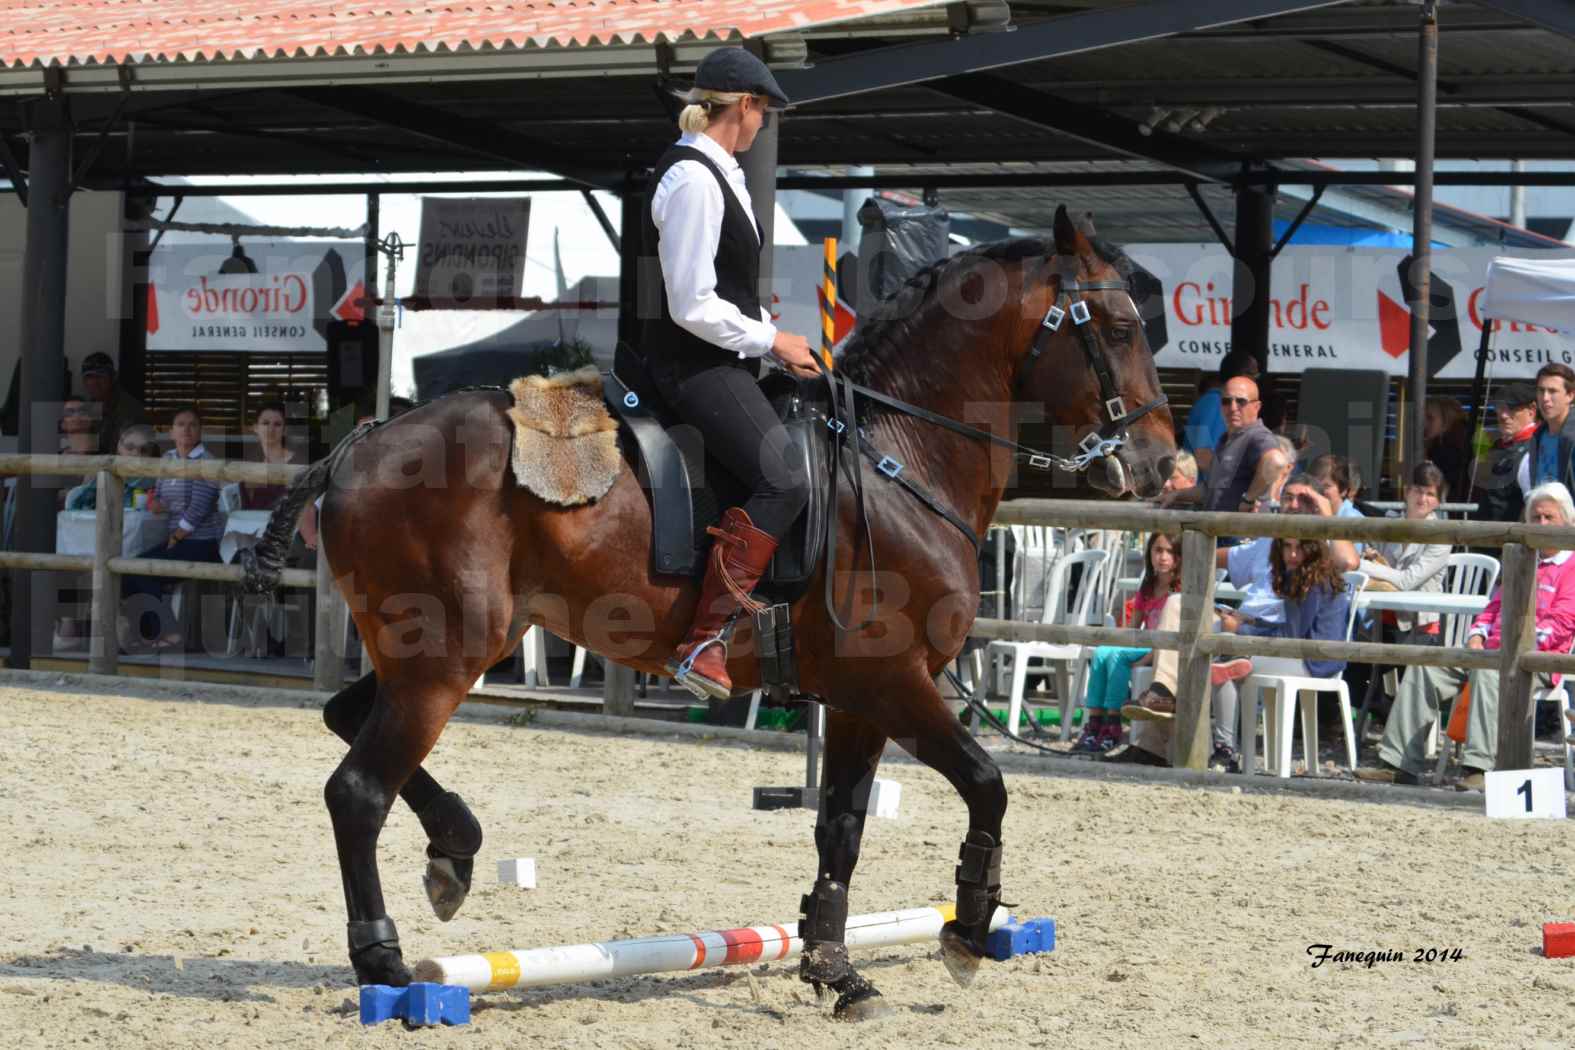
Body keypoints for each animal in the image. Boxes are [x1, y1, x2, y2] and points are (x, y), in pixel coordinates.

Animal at [242, 204, 1171, 1020]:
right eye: (1119, 326)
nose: (1162, 463)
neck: (895, 457)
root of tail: (361, 443)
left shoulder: (858, 700)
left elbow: (841, 831)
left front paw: (836, 970)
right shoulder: (893, 681)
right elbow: (986, 784)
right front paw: (970, 929)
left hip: (445, 648)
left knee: (344, 717)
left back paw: (454, 851)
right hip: (442, 658)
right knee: (358, 790)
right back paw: (387, 962)